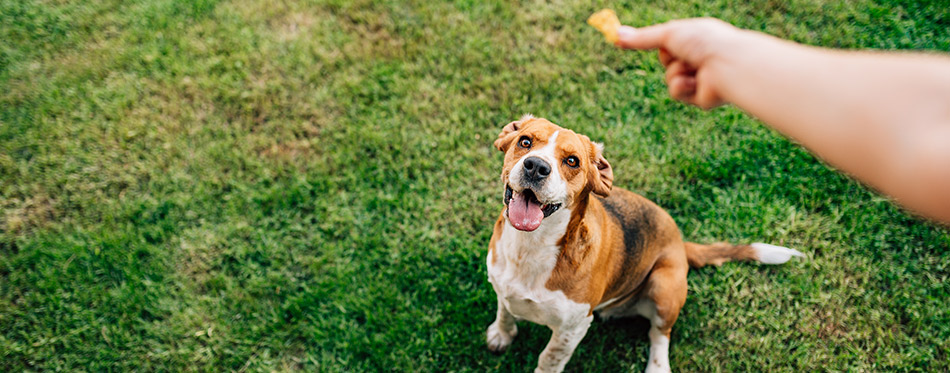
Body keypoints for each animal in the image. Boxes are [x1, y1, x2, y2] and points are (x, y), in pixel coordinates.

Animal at [484, 115, 804, 370]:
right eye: (525, 141)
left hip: (664, 287)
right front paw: (501, 334)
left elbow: (549, 359)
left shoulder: (572, 328)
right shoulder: (501, 285)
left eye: (572, 161)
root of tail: (681, 243)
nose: (536, 166)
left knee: (660, 335)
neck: (531, 247)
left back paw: (658, 367)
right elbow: (504, 311)